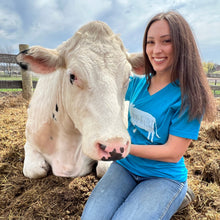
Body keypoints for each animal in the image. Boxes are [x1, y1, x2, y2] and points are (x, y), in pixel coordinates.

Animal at [17, 20, 144, 179]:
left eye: (128, 77)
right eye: (72, 76)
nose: (113, 146)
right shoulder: (30, 141)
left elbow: (103, 169)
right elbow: (35, 171)